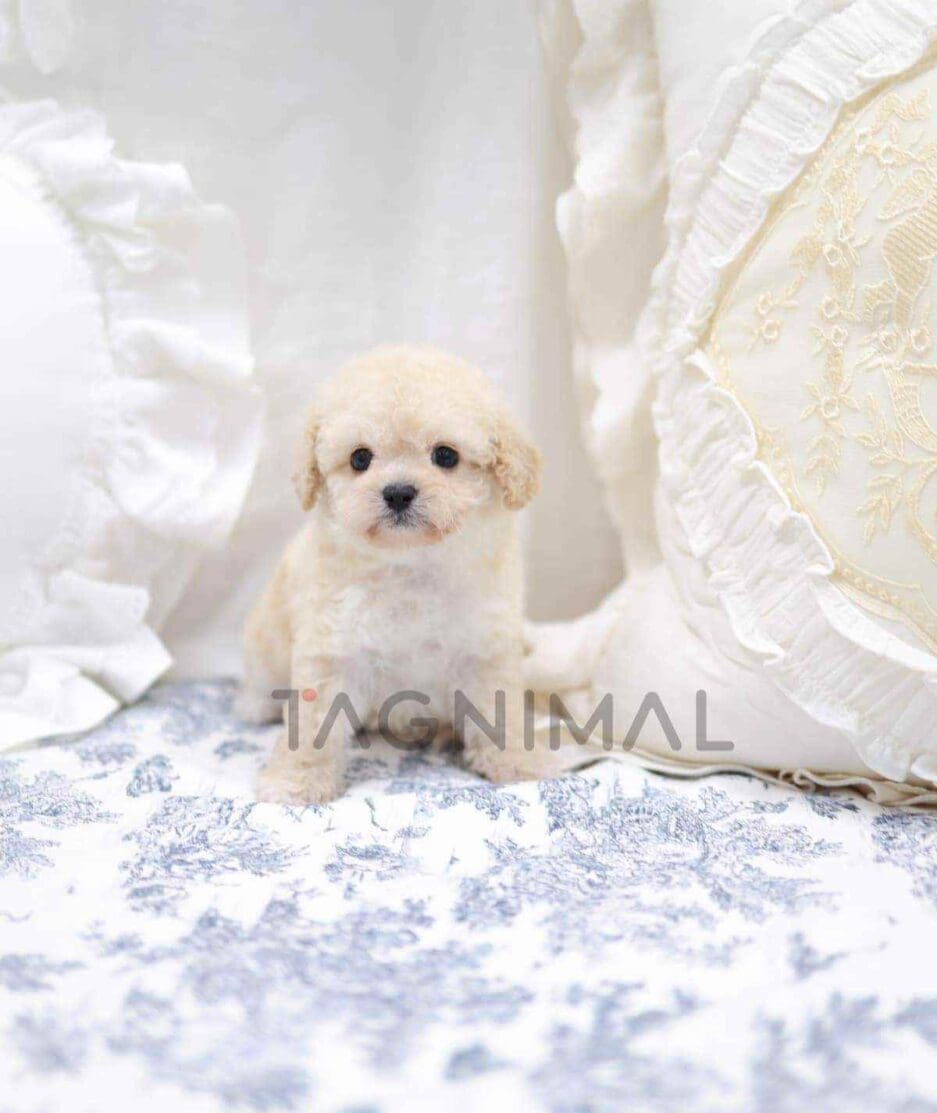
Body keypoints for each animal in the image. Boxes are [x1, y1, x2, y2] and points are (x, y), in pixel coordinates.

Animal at [238, 345, 550, 803]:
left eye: (445, 456)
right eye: (360, 458)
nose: (399, 493)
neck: (410, 565)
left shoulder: (485, 645)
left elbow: (501, 708)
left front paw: (516, 761)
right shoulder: (331, 645)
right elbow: (313, 722)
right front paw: (297, 780)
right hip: (264, 646)